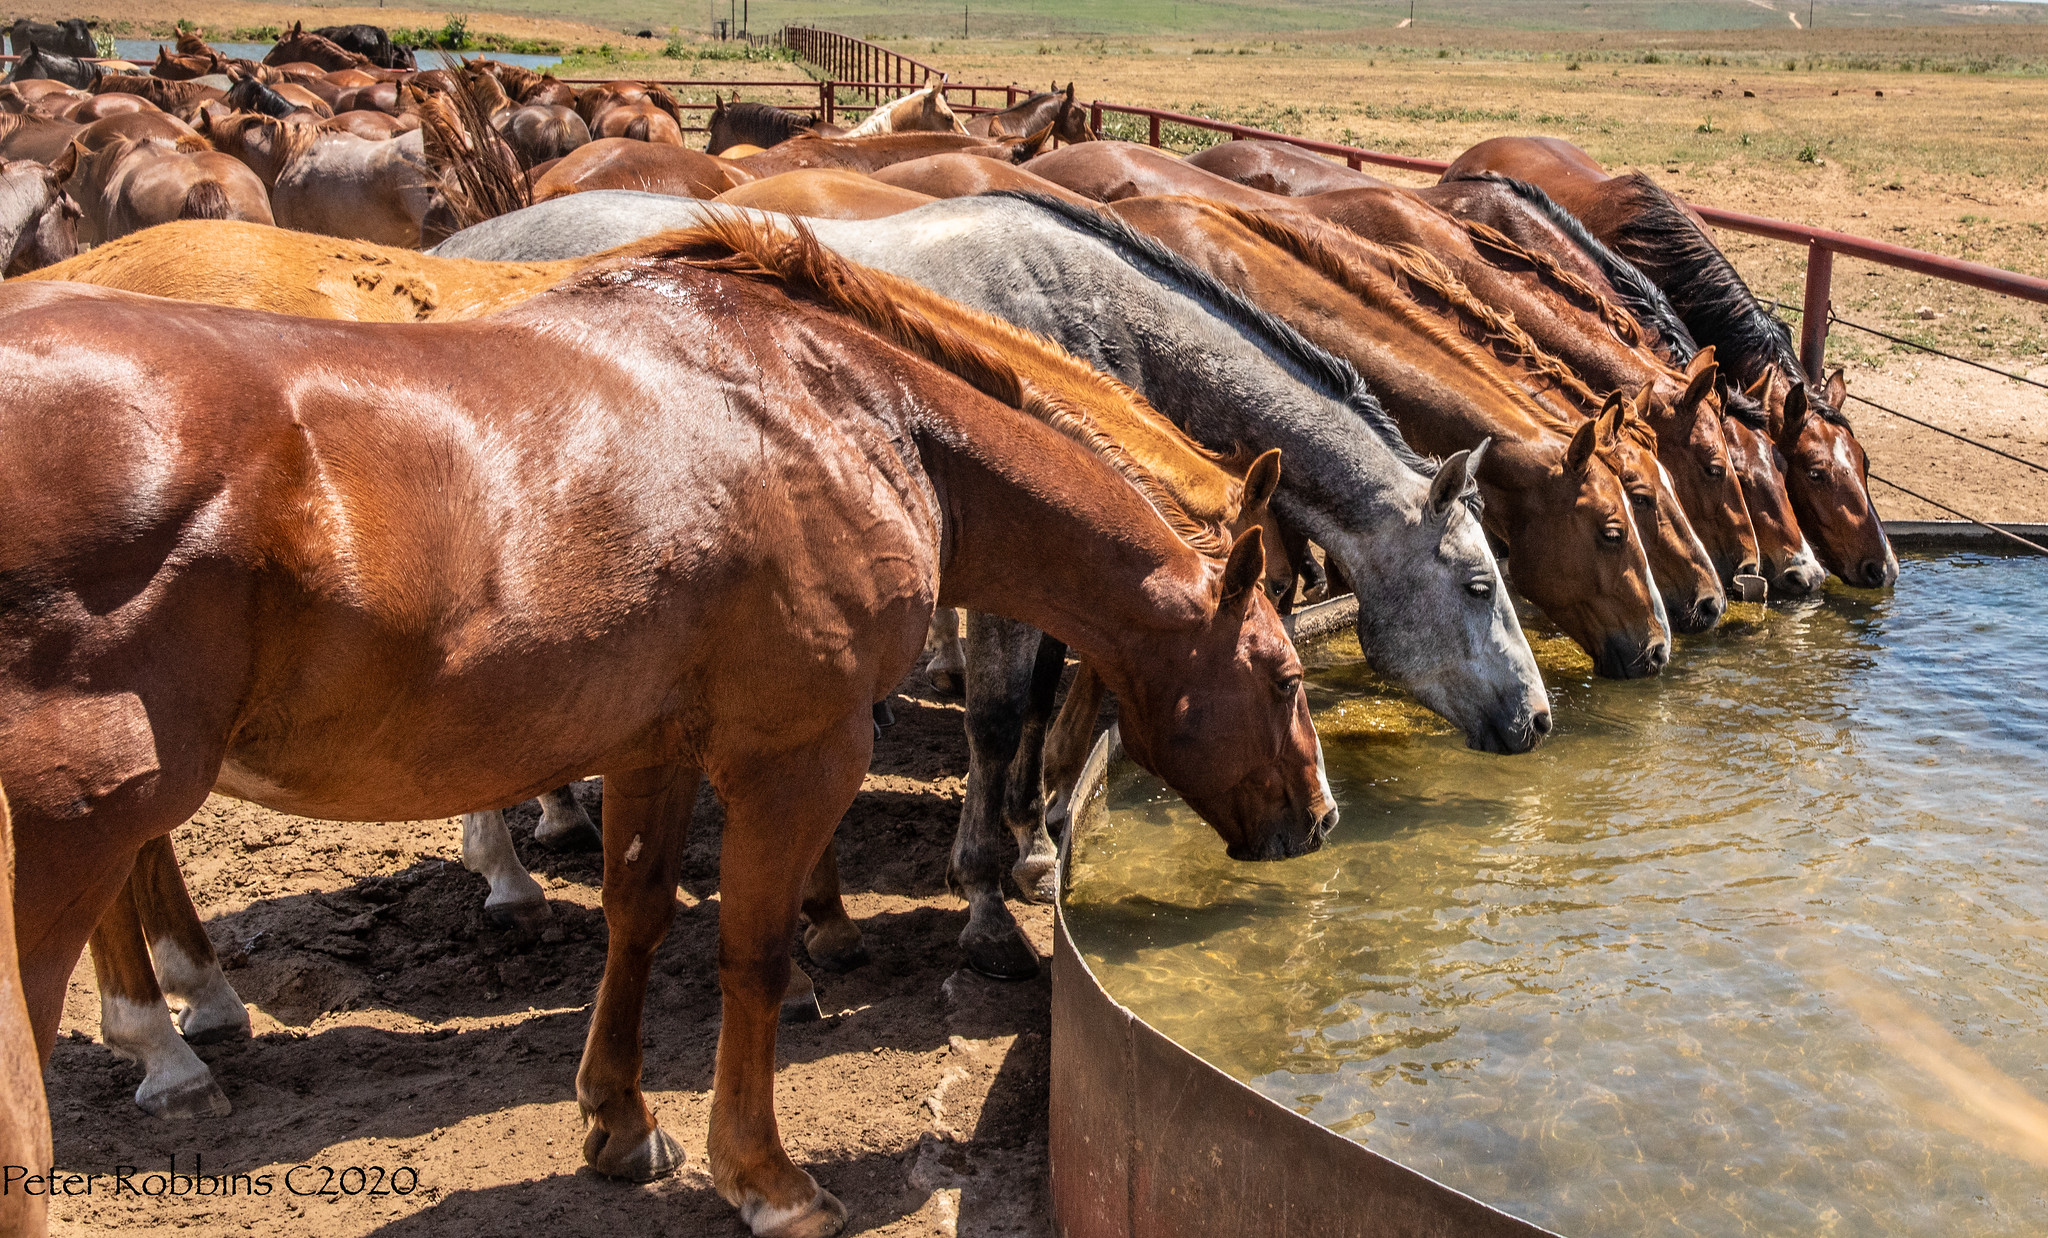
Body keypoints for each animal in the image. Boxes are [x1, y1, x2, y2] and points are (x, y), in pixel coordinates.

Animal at [0, 213, 1335, 1229]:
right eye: (1280, 672)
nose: (1318, 819)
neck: (853, 415)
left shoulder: (652, 745)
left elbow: (636, 918)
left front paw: (620, 1122)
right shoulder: (799, 754)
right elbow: (750, 952)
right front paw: (767, 1176)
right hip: (75, 832)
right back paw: (168, 1038)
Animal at [436, 190, 1548, 975]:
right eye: (1478, 582)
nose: (1536, 719)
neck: (1089, 318)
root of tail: (458, 254)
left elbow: (1051, 706)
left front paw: (1033, 847)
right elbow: (1000, 713)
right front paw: (986, 901)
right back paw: (506, 873)